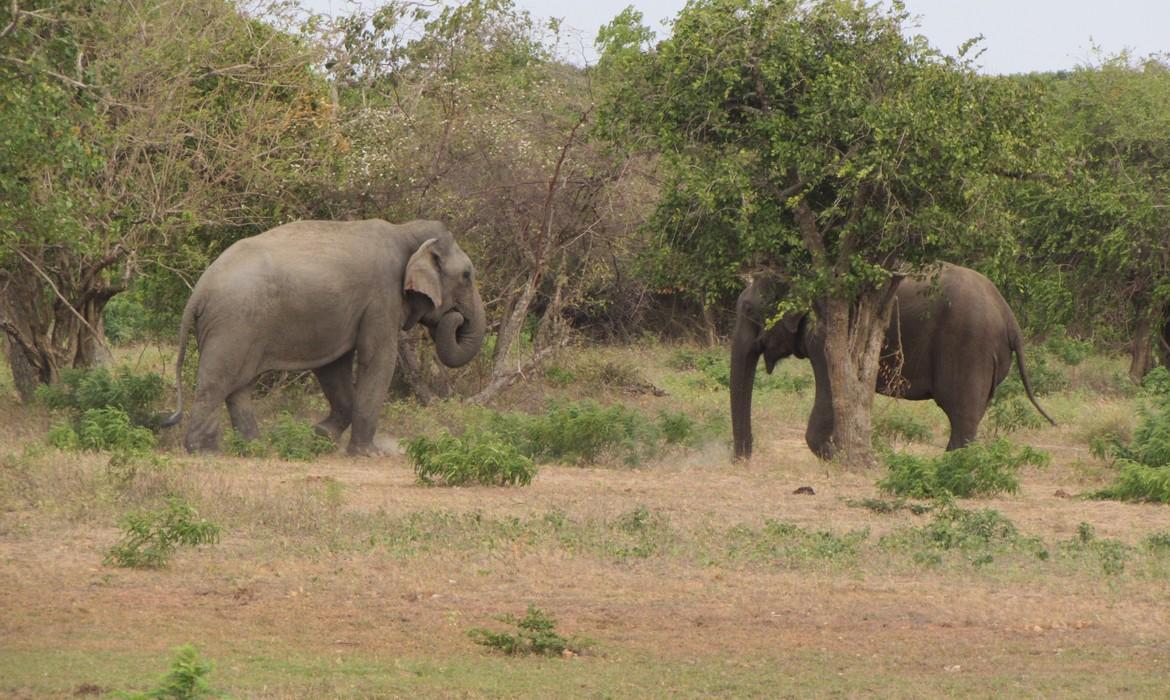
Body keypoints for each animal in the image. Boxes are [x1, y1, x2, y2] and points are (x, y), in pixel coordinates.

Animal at [162, 219, 486, 455]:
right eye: (467, 276)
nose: (456, 316)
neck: (405, 231)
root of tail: (199, 291)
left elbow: (333, 366)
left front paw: (319, 436)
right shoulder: (382, 298)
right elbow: (377, 359)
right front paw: (367, 454)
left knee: (239, 386)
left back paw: (255, 447)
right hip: (233, 323)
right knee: (217, 383)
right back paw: (205, 452)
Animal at [730, 263, 1054, 460]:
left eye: (748, 310)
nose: (742, 459)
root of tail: (1010, 317)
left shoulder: (824, 334)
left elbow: (829, 392)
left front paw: (840, 458)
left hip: (969, 346)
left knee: (961, 414)